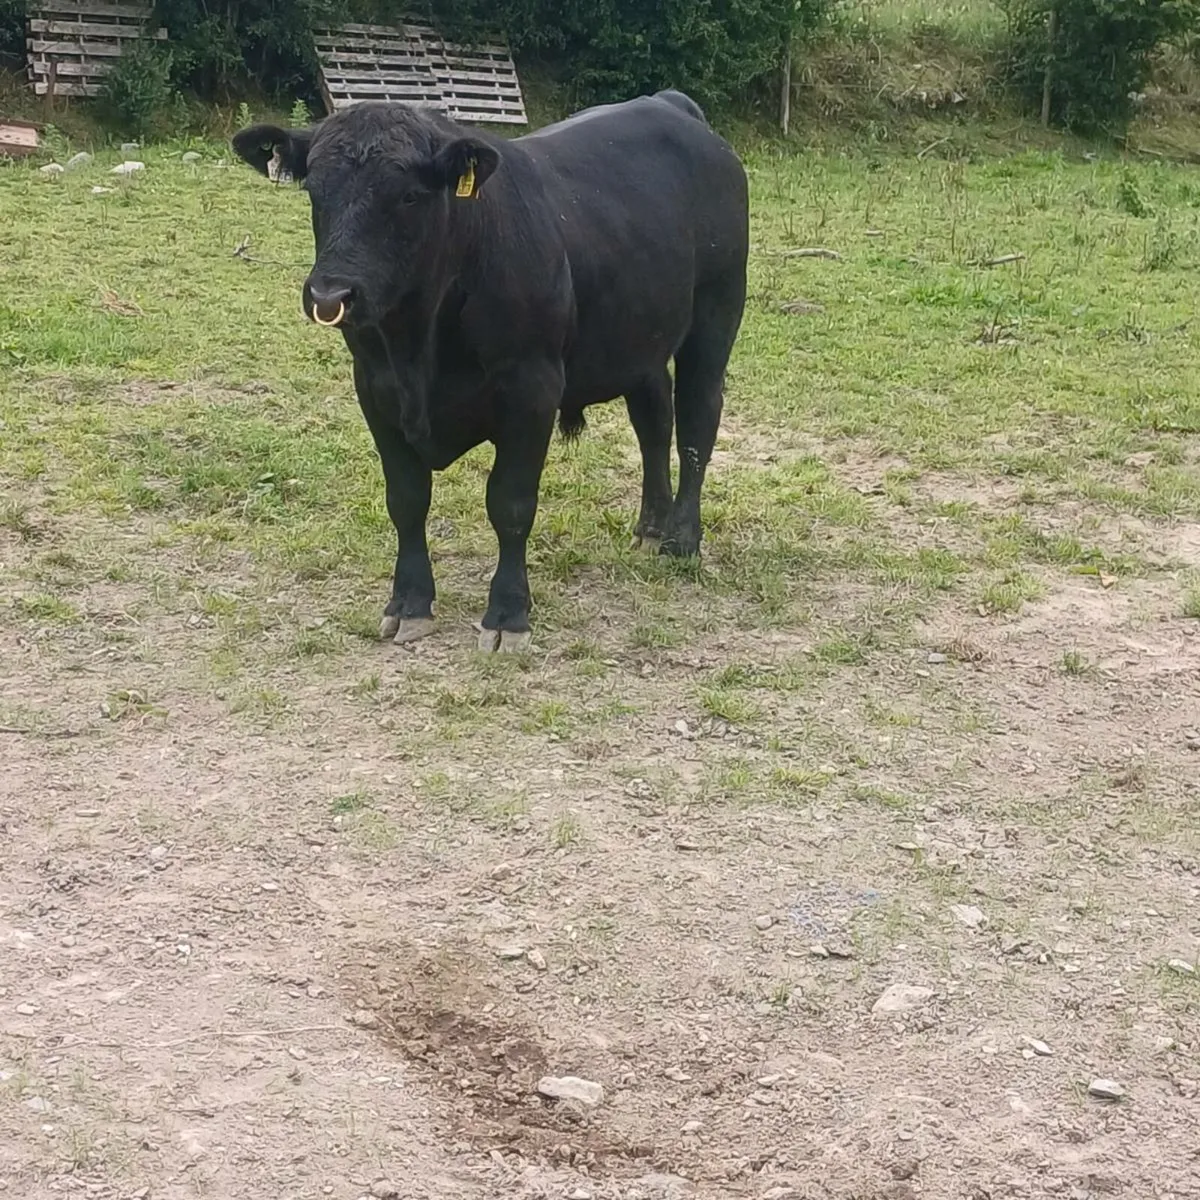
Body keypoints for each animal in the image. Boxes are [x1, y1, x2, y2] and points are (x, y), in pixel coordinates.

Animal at [232, 89, 748, 651]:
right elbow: (406, 498)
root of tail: (670, 103)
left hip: (716, 313)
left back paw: (682, 539)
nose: (330, 295)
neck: (418, 346)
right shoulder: (374, 388)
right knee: (653, 424)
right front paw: (409, 603)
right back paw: (650, 528)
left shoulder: (532, 390)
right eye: (314, 191)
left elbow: (511, 504)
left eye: (408, 196)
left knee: (697, 419)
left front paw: (507, 615)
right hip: (640, 339)